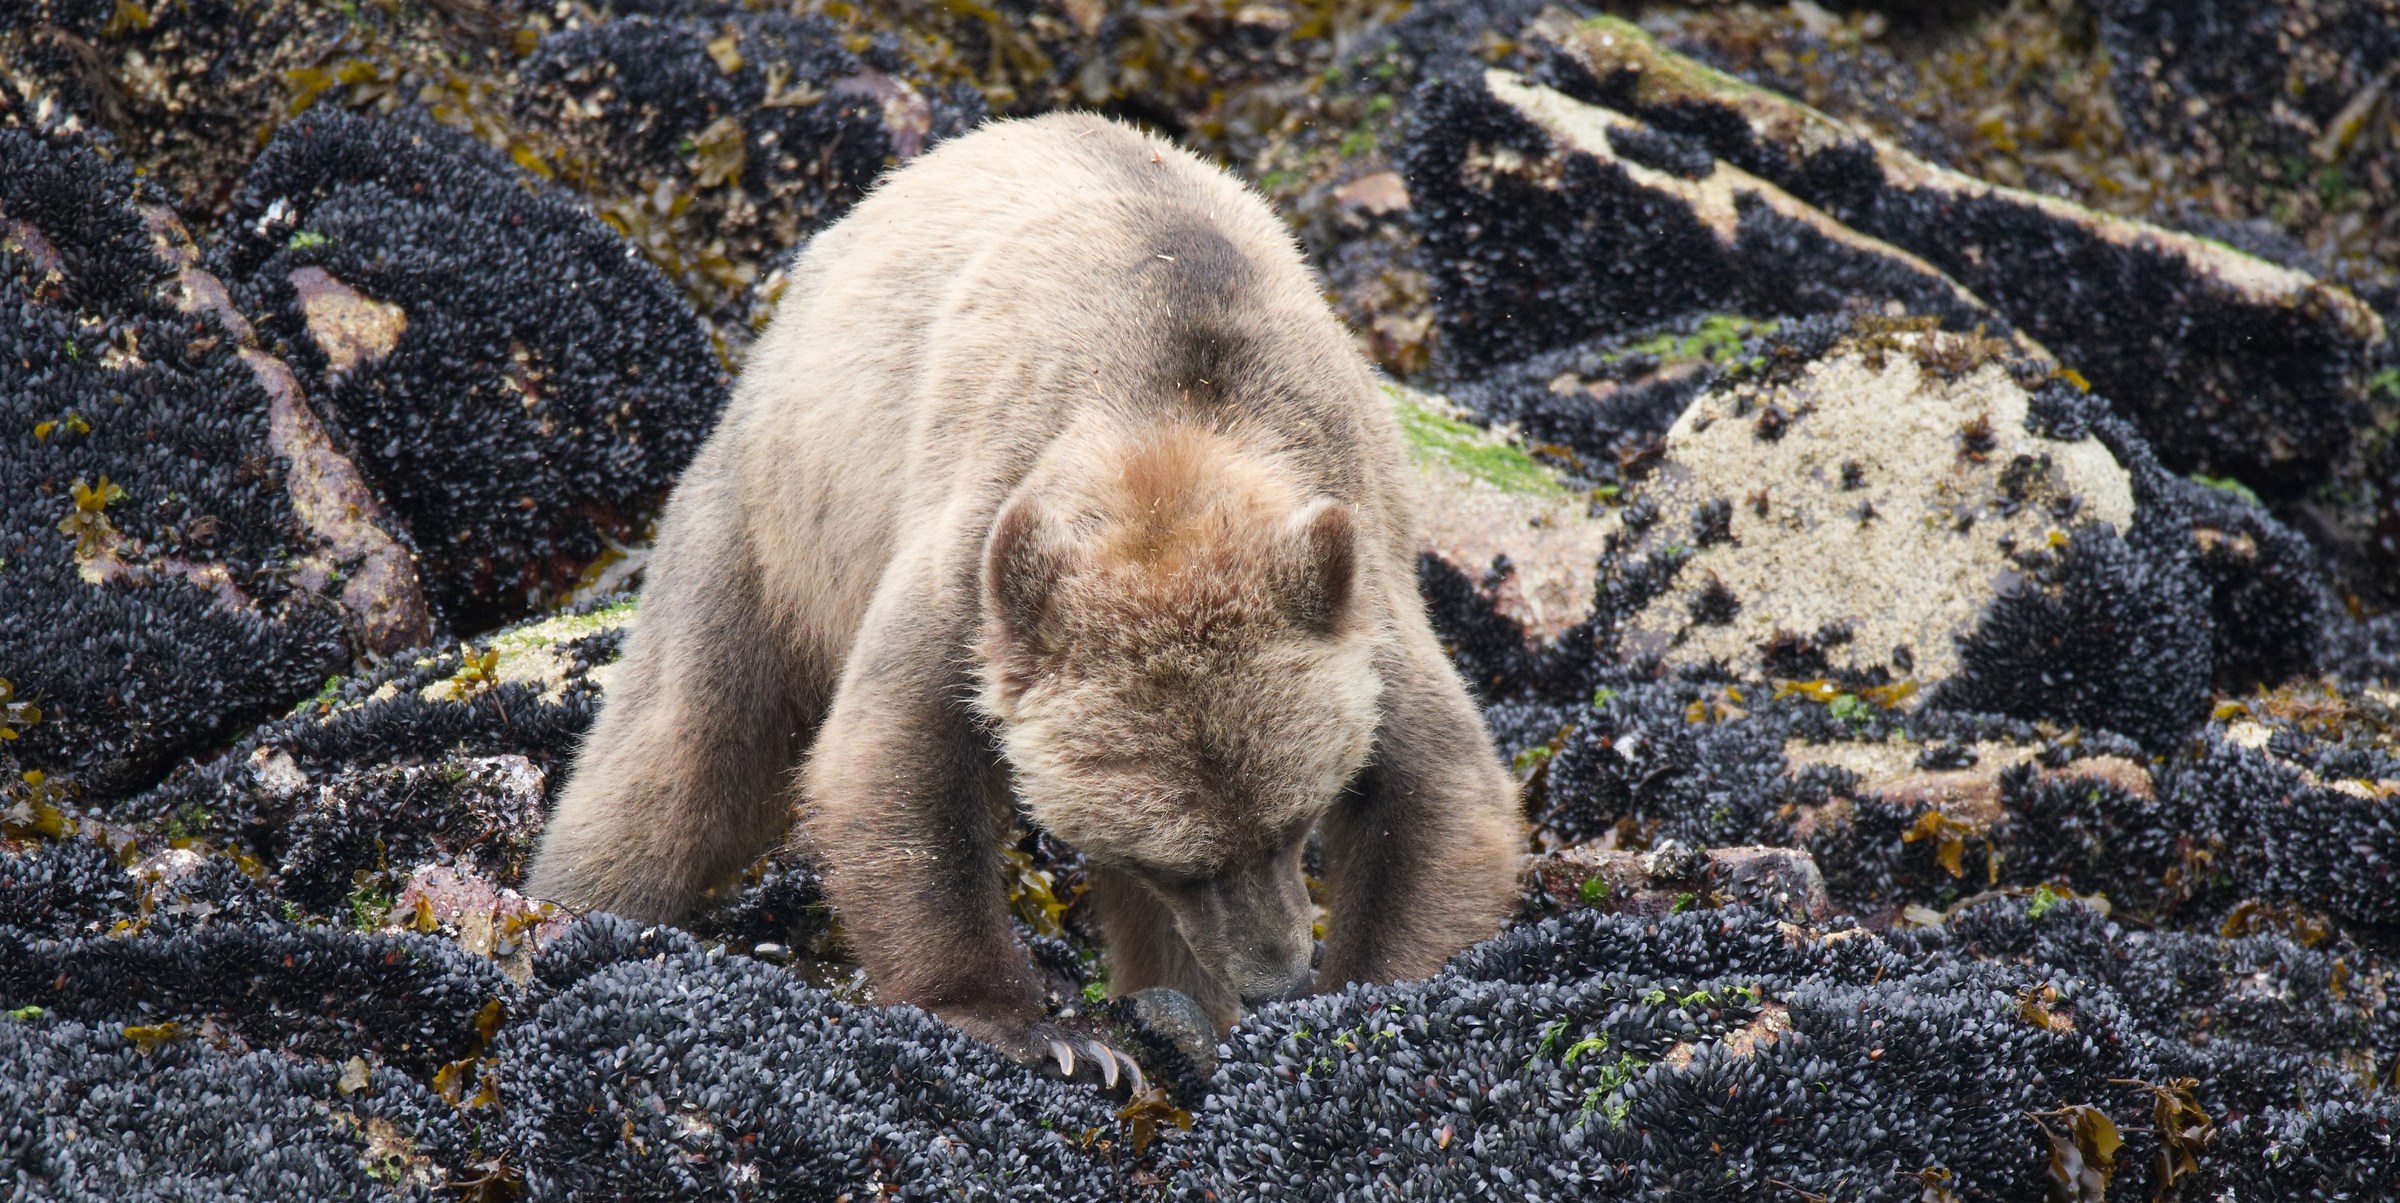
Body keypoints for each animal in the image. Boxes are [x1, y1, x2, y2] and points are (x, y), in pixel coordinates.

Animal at [525, 112, 1524, 1086]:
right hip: (774, 518)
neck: (1172, 443)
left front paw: (1361, 1009)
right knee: (685, 745)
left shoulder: (1361, 582)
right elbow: (897, 763)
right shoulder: (979, 563)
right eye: (1181, 861)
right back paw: (571, 905)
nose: (1276, 972)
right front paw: (1040, 1029)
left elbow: (1441, 793)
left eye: (1295, 822)